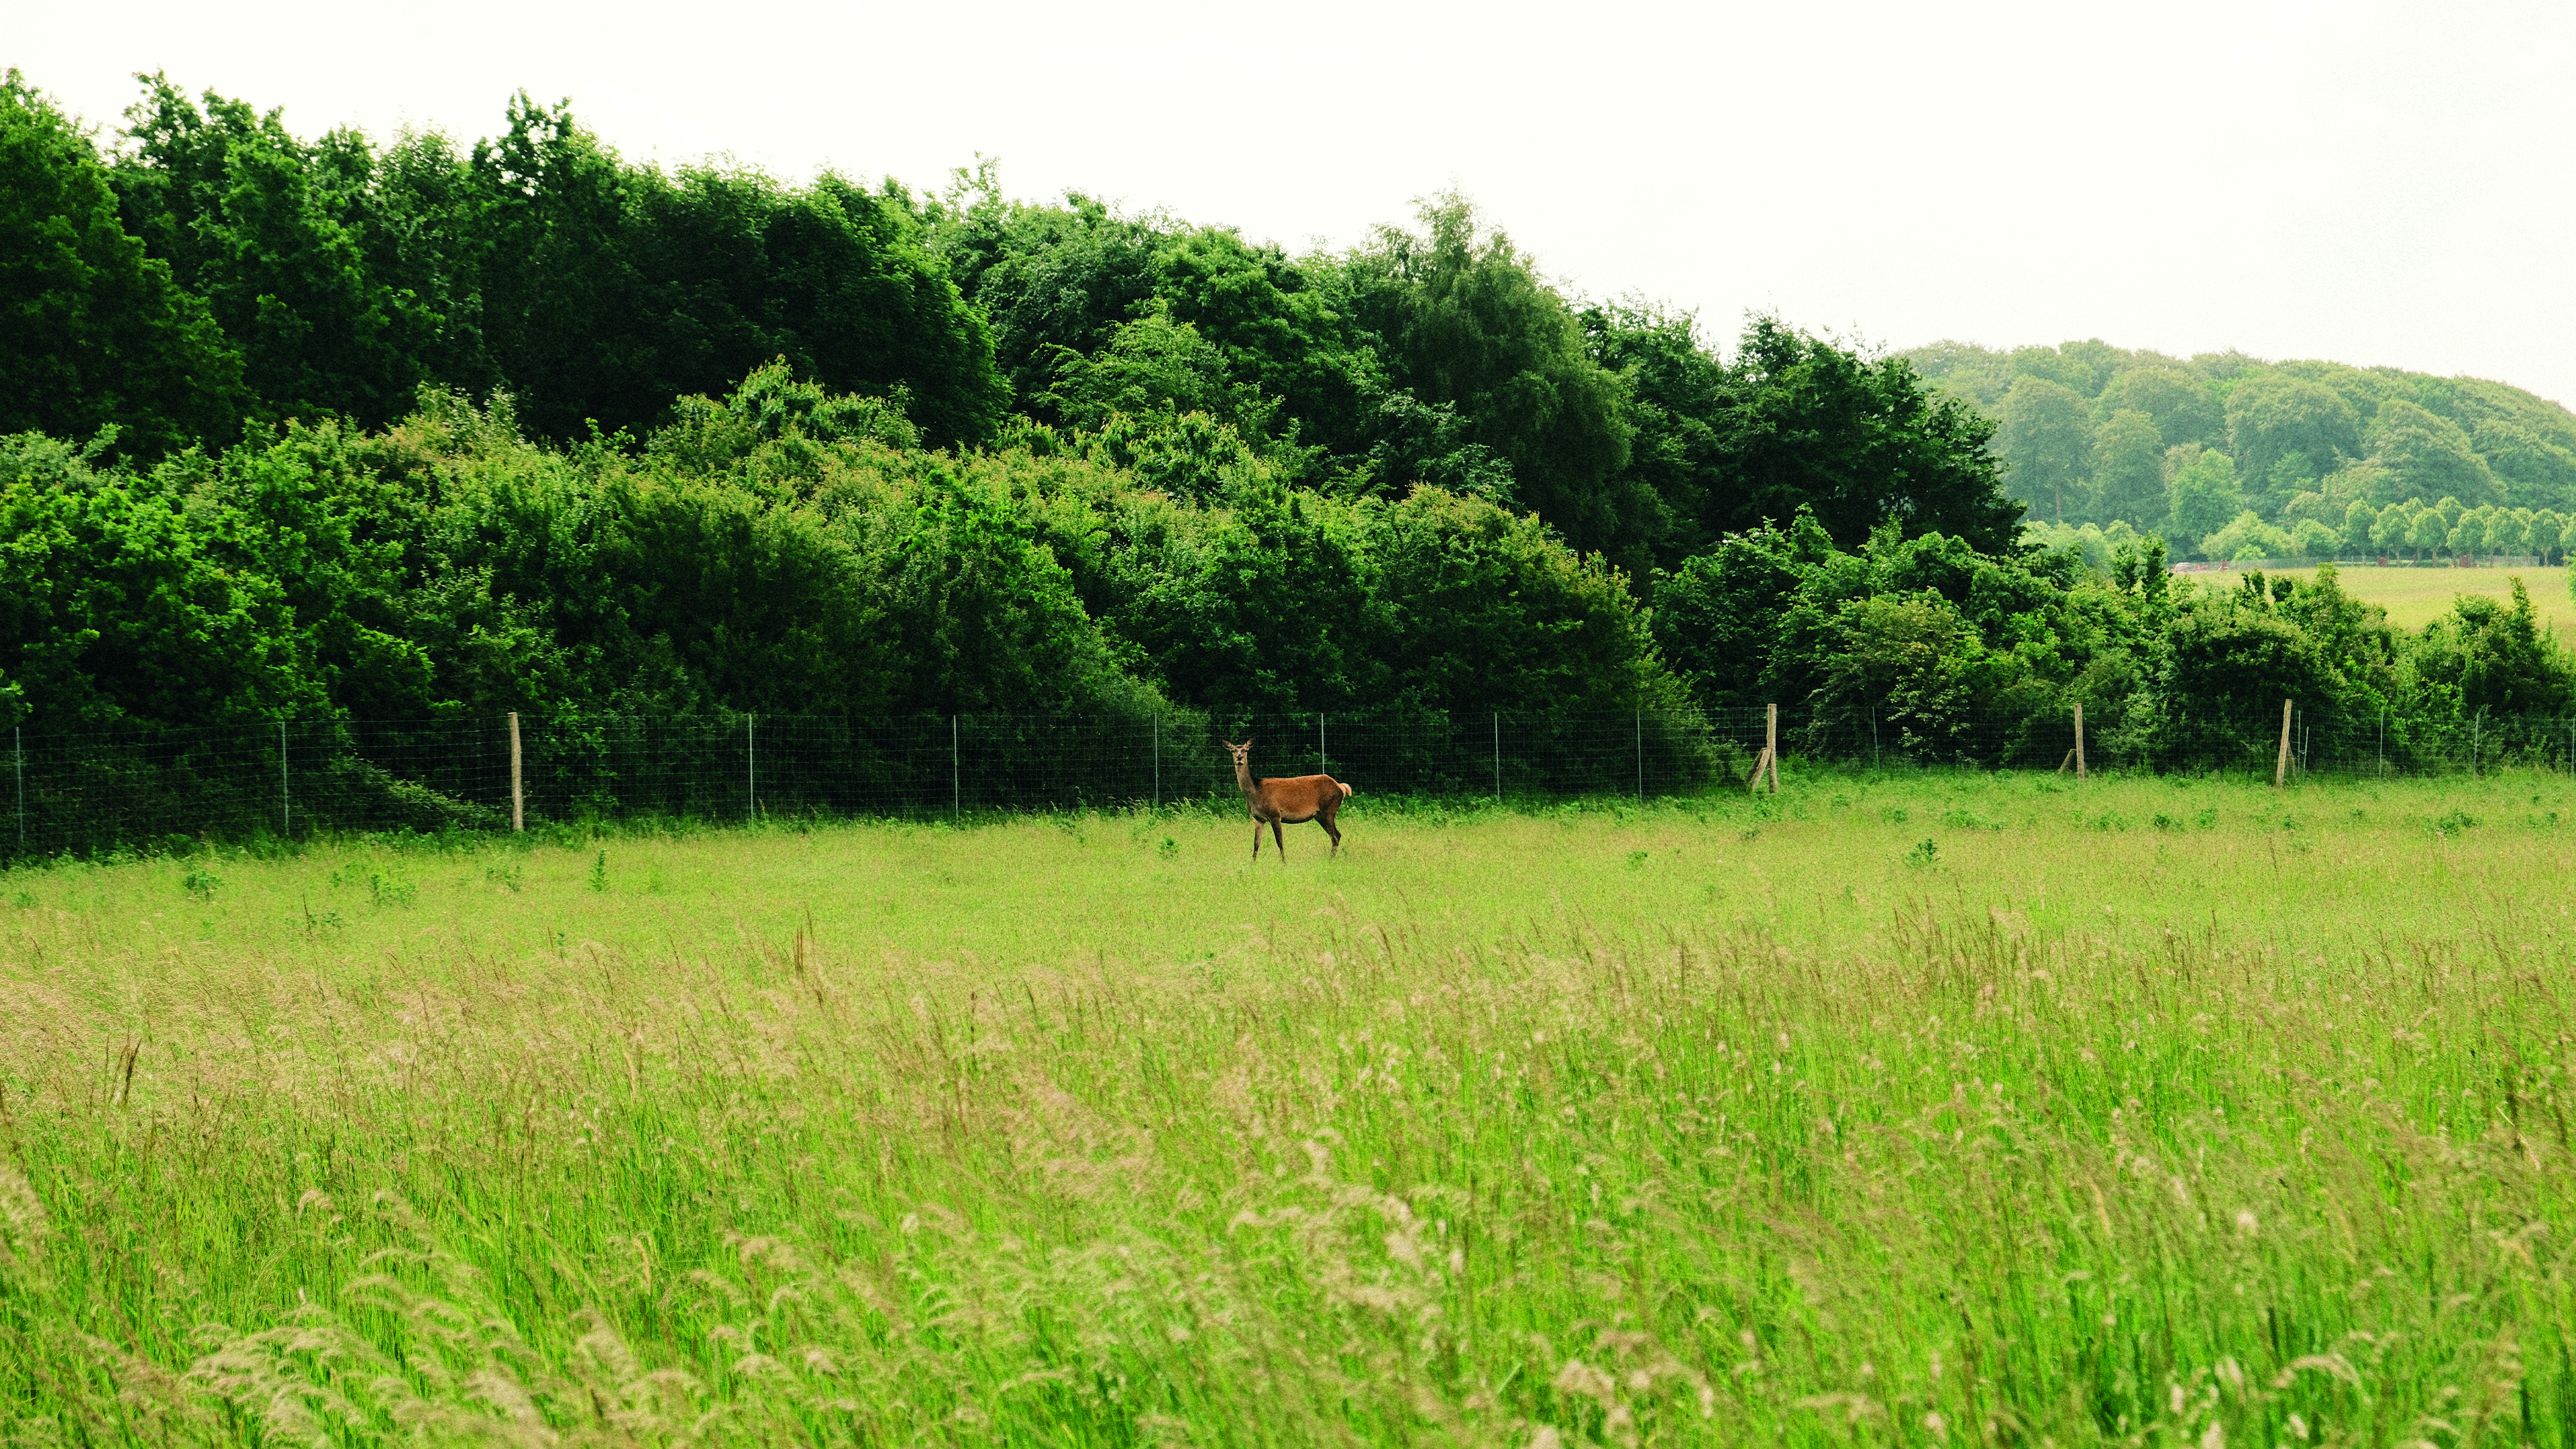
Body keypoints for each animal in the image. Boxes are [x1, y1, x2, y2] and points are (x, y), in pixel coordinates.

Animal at [1225, 739, 1351, 861]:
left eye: (1246, 750)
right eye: (1233, 750)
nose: (1239, 757)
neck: (1256, 792)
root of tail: (1341, 787)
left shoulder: (1275, 815)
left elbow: (1280, 842)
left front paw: (1284, 862)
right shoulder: (1258, 818)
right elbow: (1256, 843)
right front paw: (1253, 863)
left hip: (1329, 810)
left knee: (1335, 836)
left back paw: (1331, 859)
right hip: (1319, 815)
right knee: (1336, 835)